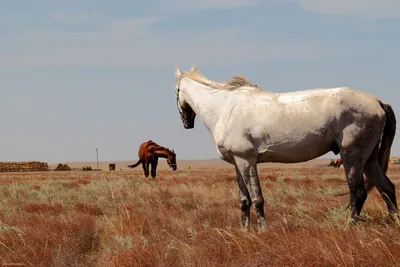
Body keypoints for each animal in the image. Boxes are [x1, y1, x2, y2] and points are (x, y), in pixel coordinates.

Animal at [174, 64, 396, 230]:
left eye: (175, 91)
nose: (186, 123)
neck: (225, 108)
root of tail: (377, 101)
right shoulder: (238, 163)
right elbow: (244, 200)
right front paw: (244, 231)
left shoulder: (247, 161)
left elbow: (257, 198)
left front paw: (262, 230)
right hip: (369, 159)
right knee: (387, 187)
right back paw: (394, 222)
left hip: (352, 157)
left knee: (358, 193)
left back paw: (348, 227)